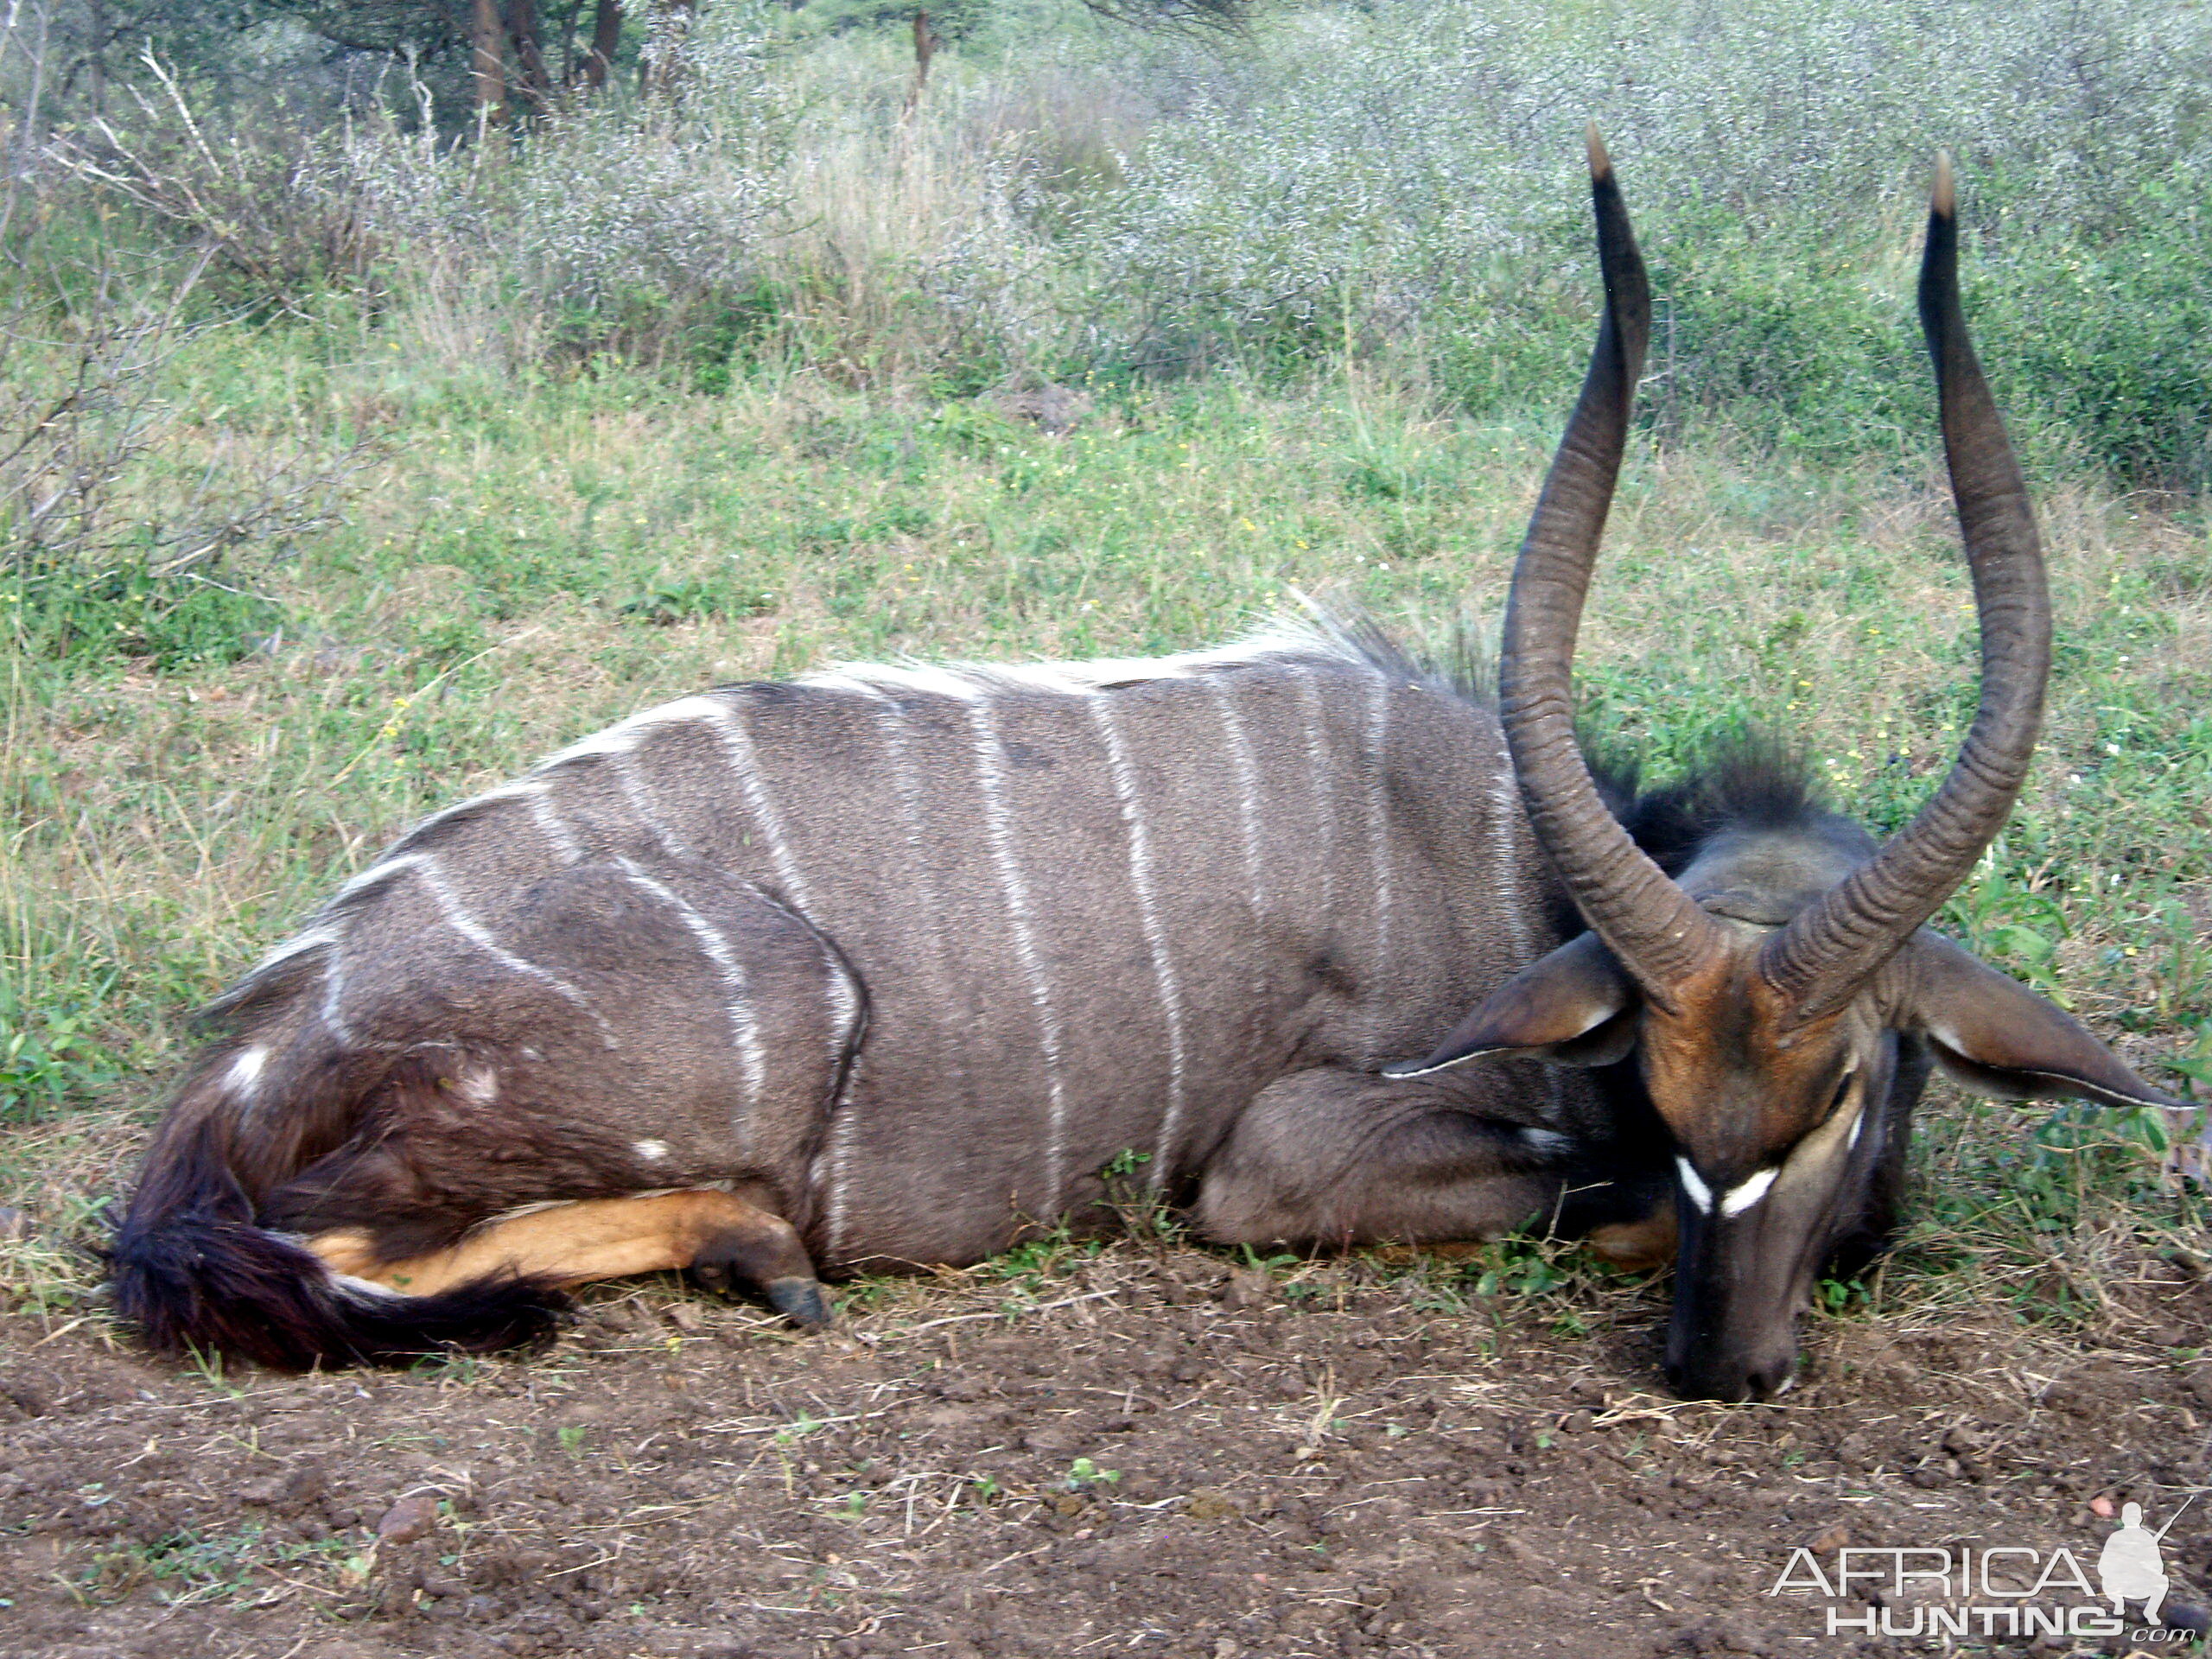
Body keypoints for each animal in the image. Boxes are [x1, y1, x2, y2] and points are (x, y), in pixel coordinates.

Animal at [117, 139, 2177, 1407]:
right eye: (1669, 1100)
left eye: (1853, 1083)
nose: (1721, 1364)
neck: (1522, 865)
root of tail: (243, 1066)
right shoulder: (1284, 1160)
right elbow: (1565, 1195)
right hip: (753, 1019)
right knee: (341, 1247)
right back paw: (761, 1252)